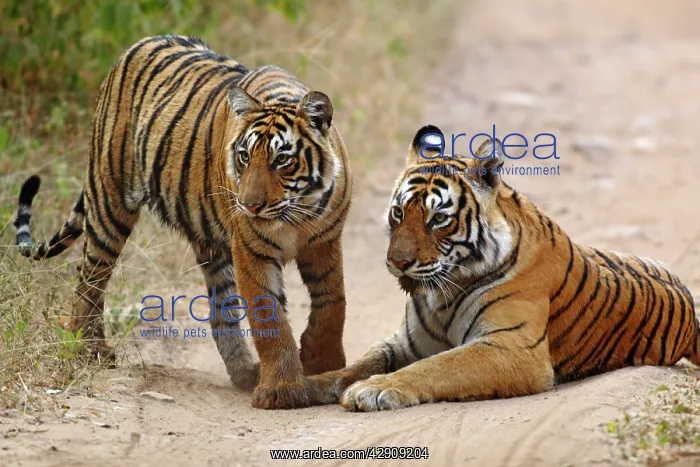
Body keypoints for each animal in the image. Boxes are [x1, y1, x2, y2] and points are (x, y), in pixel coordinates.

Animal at [13, 35, 352, 410]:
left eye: (281, 161)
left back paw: (245, 372)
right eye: (244, 157)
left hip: (209, 243)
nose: (249, 206)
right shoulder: (252, 250)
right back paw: (90, 349)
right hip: (109, 203)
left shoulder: (324, 242)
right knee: (89, 278)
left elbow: (332, 304)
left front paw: (323, 364)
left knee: (221, 311)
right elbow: (271, 316)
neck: (296, 212)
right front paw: (283, 390)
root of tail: (135, 46)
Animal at [307, 124, 700, 411]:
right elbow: (362, 362)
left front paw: (374, 389)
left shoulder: (513, 347)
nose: (397, 263)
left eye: (438, 219)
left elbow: (438, 366)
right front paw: (315, 384)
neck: (443, 294)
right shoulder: (406, 341)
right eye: (398, 212)